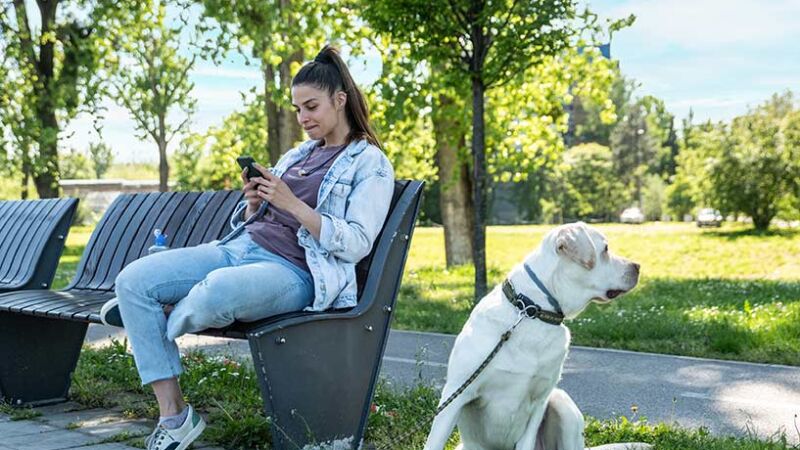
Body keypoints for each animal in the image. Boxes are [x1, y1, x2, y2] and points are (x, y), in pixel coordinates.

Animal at [424, 222, 648, 450]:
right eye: (605, 249)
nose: (638, 266)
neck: (532, 311)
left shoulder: (539, 402)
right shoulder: (456, 395)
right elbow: (434, 442)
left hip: (561, 403)